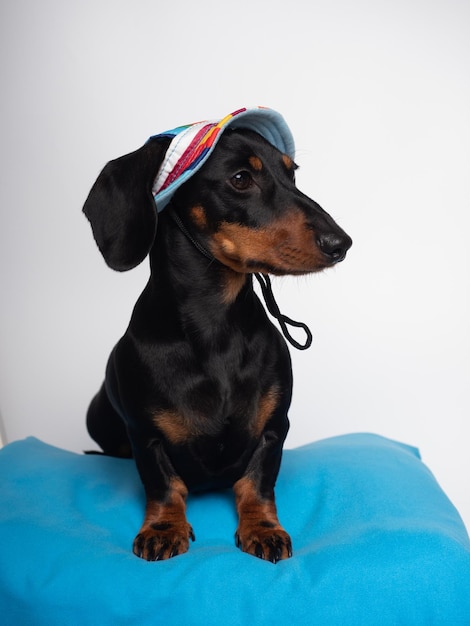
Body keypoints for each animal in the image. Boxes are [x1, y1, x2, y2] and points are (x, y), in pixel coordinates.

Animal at [82, 120, 350, 560]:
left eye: (292, 174)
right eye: (240, 179)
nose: (341, 244)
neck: (215, 327)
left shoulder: (274, 428)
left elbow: (257, 484)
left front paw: (263, 528)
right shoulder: (145, 436)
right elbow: (164, 485)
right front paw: (163, 528)